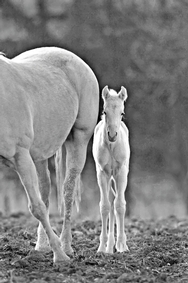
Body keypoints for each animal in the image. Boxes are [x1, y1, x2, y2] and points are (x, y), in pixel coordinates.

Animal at [0, 47, 99, 268]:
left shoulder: (20, 155)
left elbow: (36, 207)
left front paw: (60, 256)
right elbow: (40, 203)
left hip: (78, 139)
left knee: (67, 191)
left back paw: (66, 246)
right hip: (38, 155)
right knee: (45, 192)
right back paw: (41, 246)